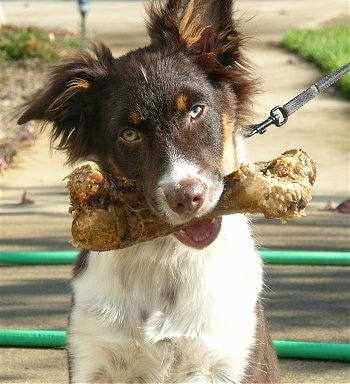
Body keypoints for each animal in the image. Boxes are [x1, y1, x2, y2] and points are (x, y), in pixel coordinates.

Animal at [18, 0, 278, 380]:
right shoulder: (91, 357)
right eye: (129, 134)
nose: (187, 197)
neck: (167, 256)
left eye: (197, 110)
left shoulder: (227, 358)